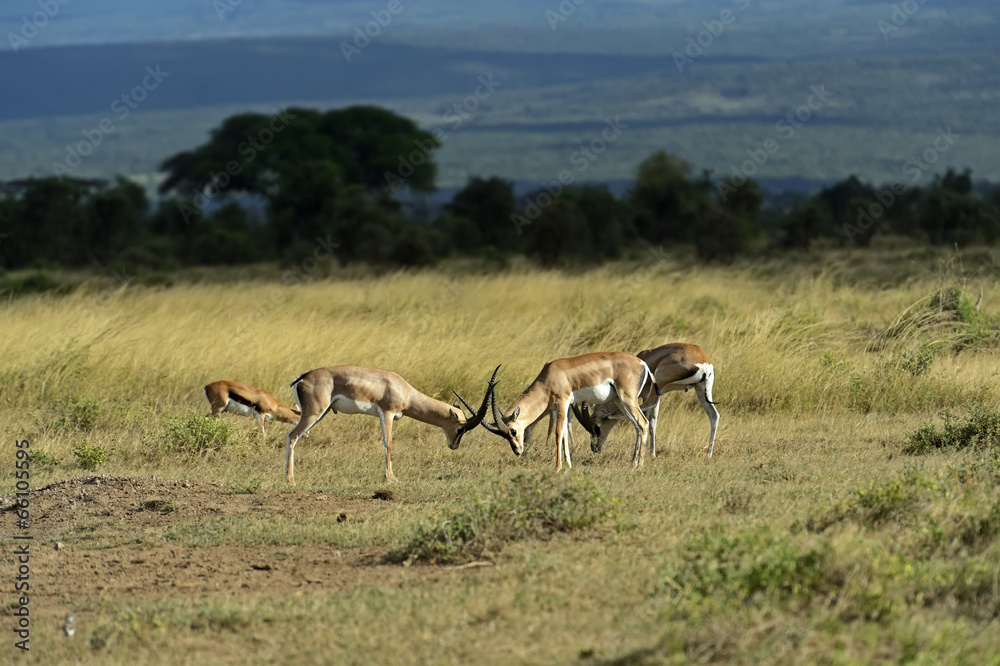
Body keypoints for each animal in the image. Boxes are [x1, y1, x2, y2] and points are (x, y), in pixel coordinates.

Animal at [284, 366, 496, 484]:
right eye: (460, 428)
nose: (454, 446)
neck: (405, 391)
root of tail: (303, 377)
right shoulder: (387, 414)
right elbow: (389, 444)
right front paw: (391, 479)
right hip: (314, 413)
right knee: (292, 436)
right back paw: (290, 481)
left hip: (321, 413)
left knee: (292, 436)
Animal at [484, 352, 652, 471]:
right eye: (504, 435)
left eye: (513, 431)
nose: (517, 451)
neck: (549, 378)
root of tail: (642, 363)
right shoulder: (564, 407)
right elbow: (565, 433)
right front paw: (568, 465)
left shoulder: (563, 403)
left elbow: (559, 433)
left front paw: (558, 467)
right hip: (620, 401)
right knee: (637, 426)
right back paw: (633, 463)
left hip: (627, 399)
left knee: (644, 423)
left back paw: (639, 466)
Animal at [573, 342, 718, 458]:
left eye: (596, 427)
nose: (594, 448)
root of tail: (703, 361)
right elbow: (653, 421)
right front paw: (652, 454)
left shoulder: (644, 394)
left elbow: (647, 420)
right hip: (700, 390)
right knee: (714, 415)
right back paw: (708, 455)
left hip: (658, 384)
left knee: (646, 408)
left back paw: (611, 416)